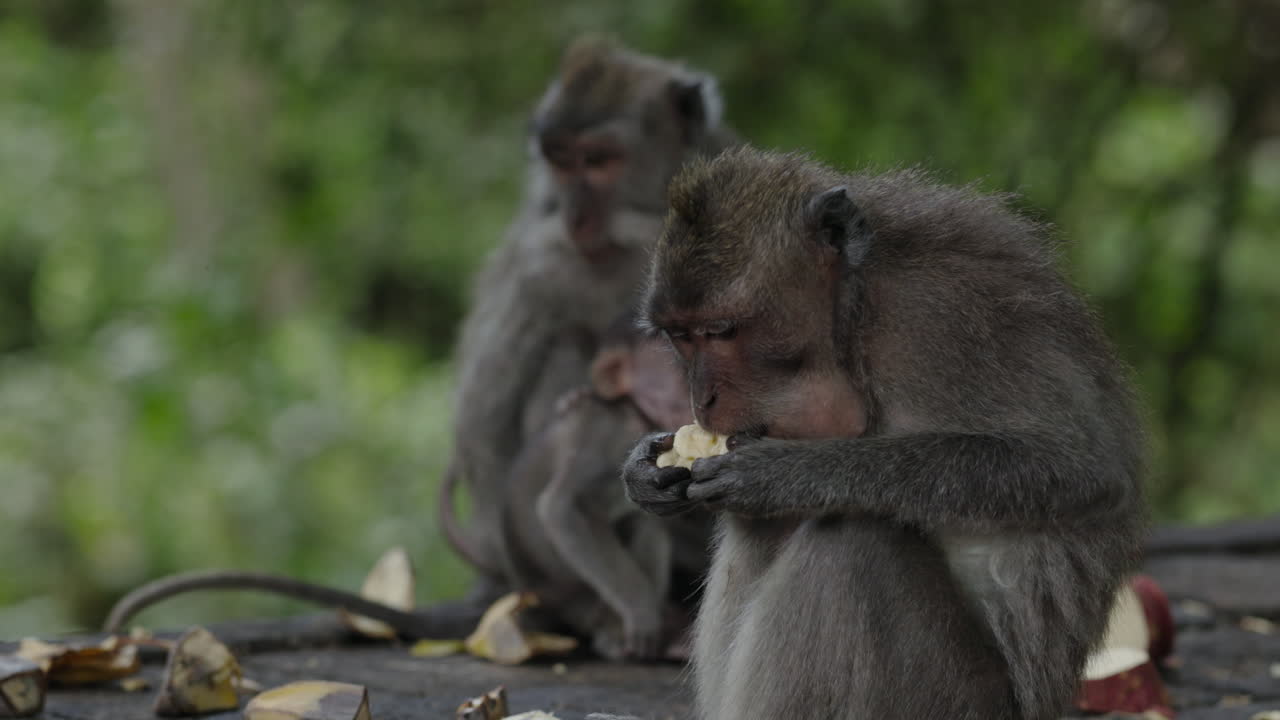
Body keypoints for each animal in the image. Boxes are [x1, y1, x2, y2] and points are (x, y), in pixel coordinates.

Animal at [492, 312, 710, 660]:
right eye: (680, 358)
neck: (637, 414)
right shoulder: (605, 433)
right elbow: (565, 507)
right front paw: (641, 609)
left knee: (645, 527)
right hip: (580, 604)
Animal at [619, 148, 1146, 720]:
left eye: (720, 332)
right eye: (680, 336)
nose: (701, 399)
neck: (854, 312)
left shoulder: (942, 318)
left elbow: (1083, 469)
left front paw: (786, 474)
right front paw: (645, 467)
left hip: (955, 699)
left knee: (852, 540)